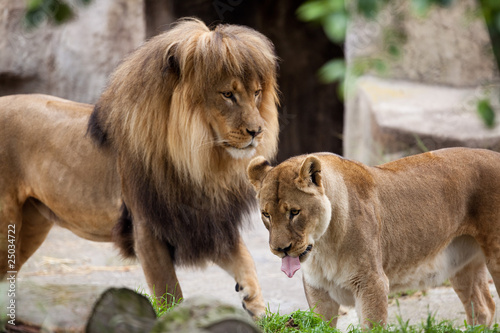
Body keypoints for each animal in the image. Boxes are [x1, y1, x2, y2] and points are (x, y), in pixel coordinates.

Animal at [1, 18, 280, 316]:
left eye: (257, 93)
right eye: (228, 94)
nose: (258, 131)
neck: (199, 162)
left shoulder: (203, 220)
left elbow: (245, 258)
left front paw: (256, 305)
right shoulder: (146, 227)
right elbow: (169, 292)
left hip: (31, 224)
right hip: (7, 221)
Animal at [247, 148, 500, 326]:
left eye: (294, 212)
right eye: (266, 214)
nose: (280, 249)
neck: (323, 246)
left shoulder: (372, 283)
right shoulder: (318, 290)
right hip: (461, 264)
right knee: (484, 308)